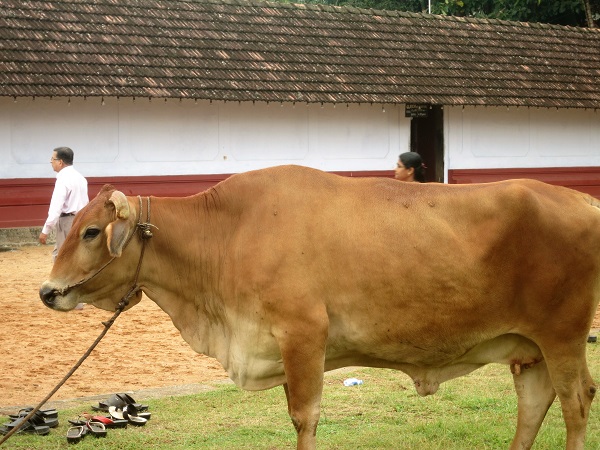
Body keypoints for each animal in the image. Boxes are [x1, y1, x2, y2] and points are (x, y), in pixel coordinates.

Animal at [39, 166, 596, 450]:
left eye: (91, 232)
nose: (48, 292)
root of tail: (581, 200)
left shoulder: (303, 336)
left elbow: (304, 417)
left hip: (563, 337)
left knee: (576, 402)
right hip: (529, 346)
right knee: (534, 401)